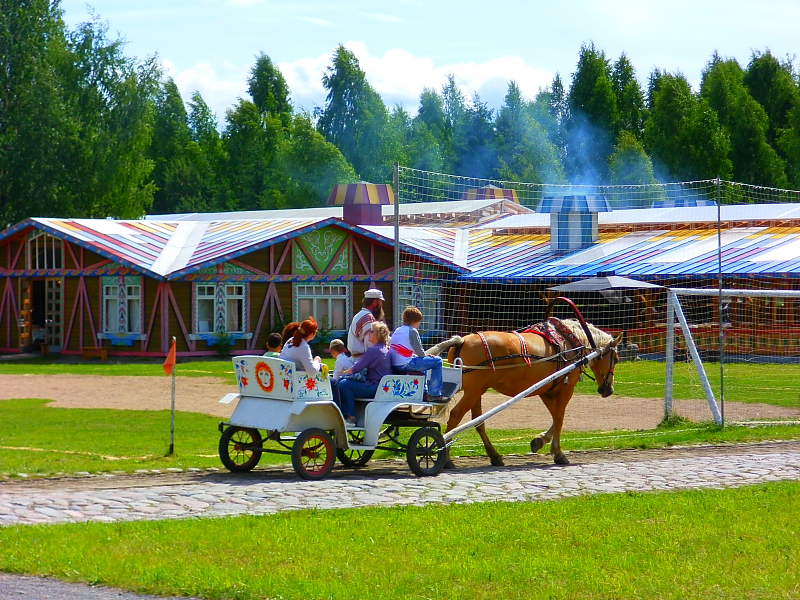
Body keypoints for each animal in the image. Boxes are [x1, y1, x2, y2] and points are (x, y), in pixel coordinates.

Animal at [434, 322, 620, 466]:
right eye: (616, 359)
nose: (608, 390)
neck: (570, 341)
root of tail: (462, 340)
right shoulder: (565, 389)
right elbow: (560, 418)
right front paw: (558, 453)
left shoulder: (546, 389)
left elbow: (555, 417)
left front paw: (541, 440)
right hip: (473, 391)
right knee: (456, 416)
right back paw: (446, 458)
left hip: (476, 391)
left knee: (478, 422)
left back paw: (494, 456)